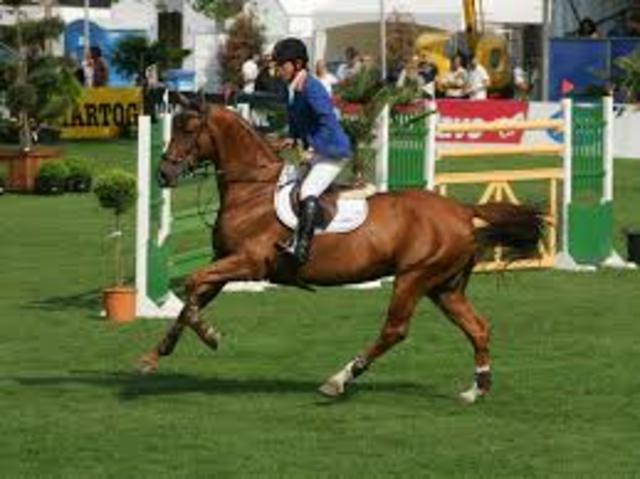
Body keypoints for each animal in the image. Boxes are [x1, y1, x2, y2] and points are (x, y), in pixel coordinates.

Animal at [139, 101, 544, 403]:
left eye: (189, 130)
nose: (163, 174)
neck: (252, 189)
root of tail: (462, 210)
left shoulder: (248, 264)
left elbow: (192, 285)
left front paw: (210, 335)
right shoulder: (224, 264)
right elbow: (191, 298)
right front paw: (153, 356)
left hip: (414, 278)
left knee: (395, 330)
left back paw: (340, 379)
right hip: (443, 287)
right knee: (477, 327)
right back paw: (477, 389)